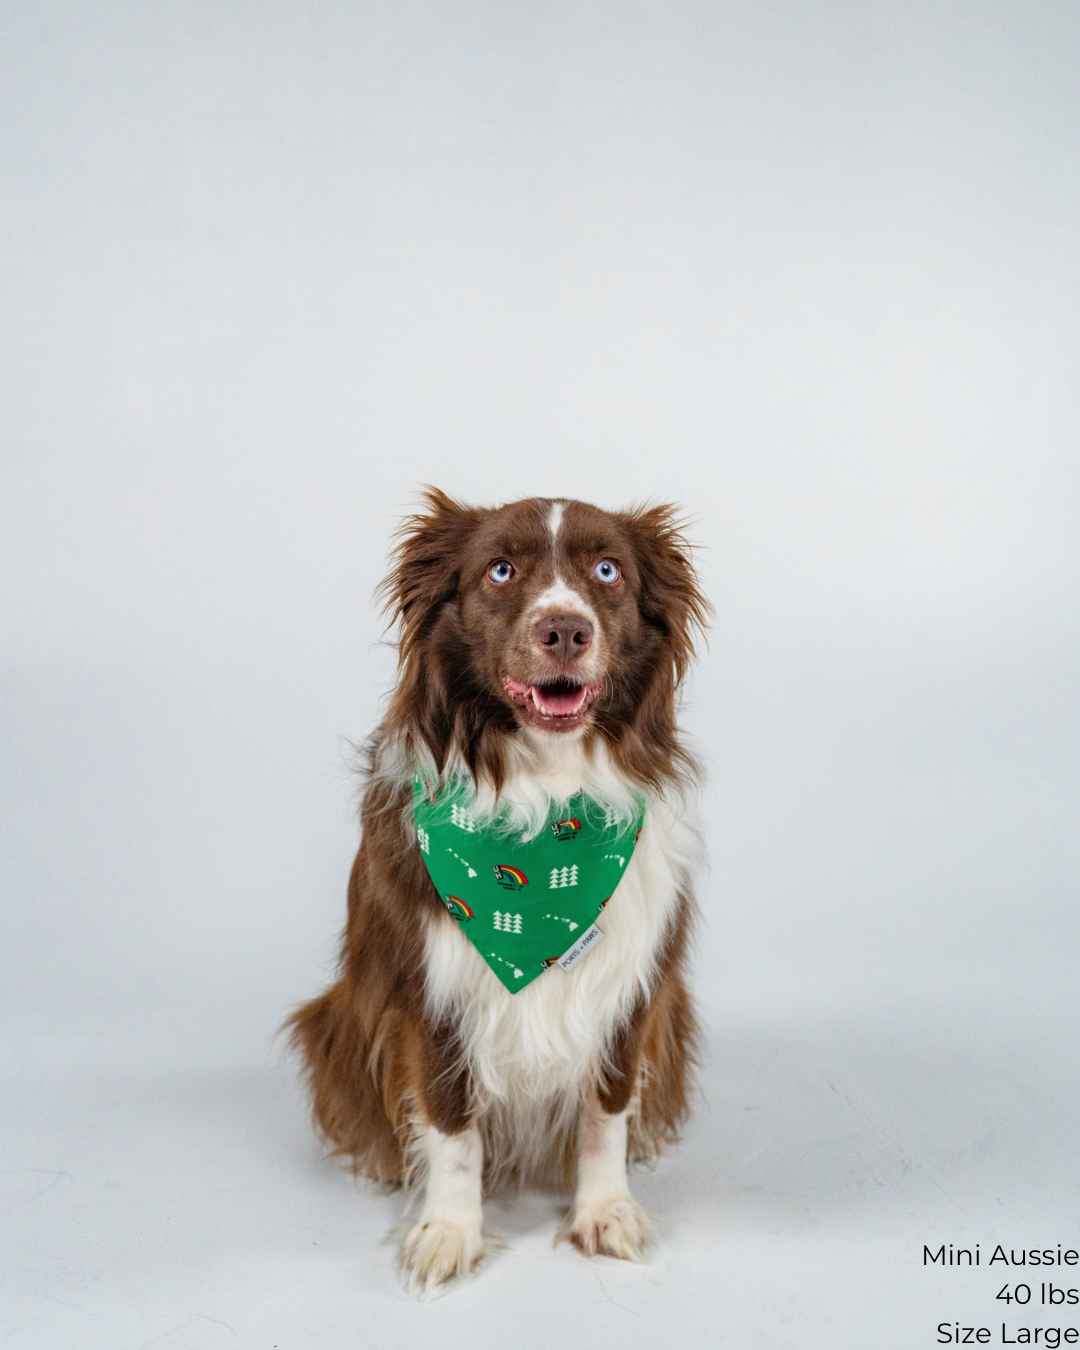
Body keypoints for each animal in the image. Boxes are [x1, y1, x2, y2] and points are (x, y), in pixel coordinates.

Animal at [288, 494, 707, 1296]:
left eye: (608, 571)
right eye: (501, 570)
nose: (565, 629)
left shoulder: (632, 982)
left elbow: (607, 1108)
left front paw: (604, 1209)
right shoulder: (429, 986)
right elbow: (452, 1126)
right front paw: (449, 1231)